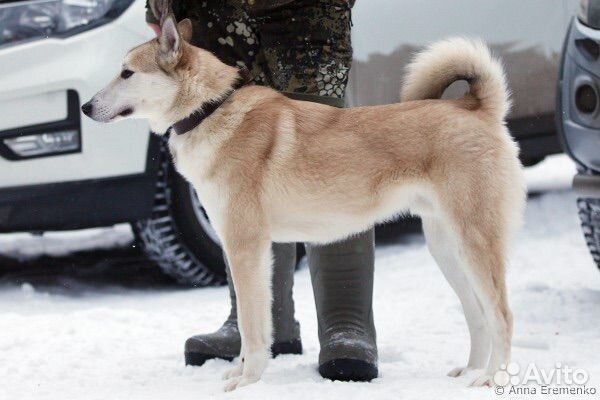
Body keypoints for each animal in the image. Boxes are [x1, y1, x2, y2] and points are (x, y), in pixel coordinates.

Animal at [83, 14, 524, 390]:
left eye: (126, 72)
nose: (86, 107)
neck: (210, 110)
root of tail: (476, 108)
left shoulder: (245, 247)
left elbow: (252, 326)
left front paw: (247, 381)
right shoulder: (256, 250)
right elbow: (259, 321)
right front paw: (246, 372)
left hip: (474, 244)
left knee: (502, 316)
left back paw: (492, 378)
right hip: (446, 247)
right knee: (477, 316)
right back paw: (470, 371)